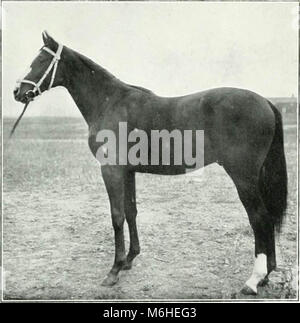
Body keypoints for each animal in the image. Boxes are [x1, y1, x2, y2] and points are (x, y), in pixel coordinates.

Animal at [12, 32, 288, 296]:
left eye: (41, 61)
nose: (17, 92)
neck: (109, 101)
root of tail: (266, 102)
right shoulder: (127, 172)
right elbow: (131, 211)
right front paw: (129, 259)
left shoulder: (111, 171)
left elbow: (117, 216)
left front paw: (114, 271)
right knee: (267, 218)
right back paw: (266, 275)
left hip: (243, 177)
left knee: (260, 218)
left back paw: (253, 280)